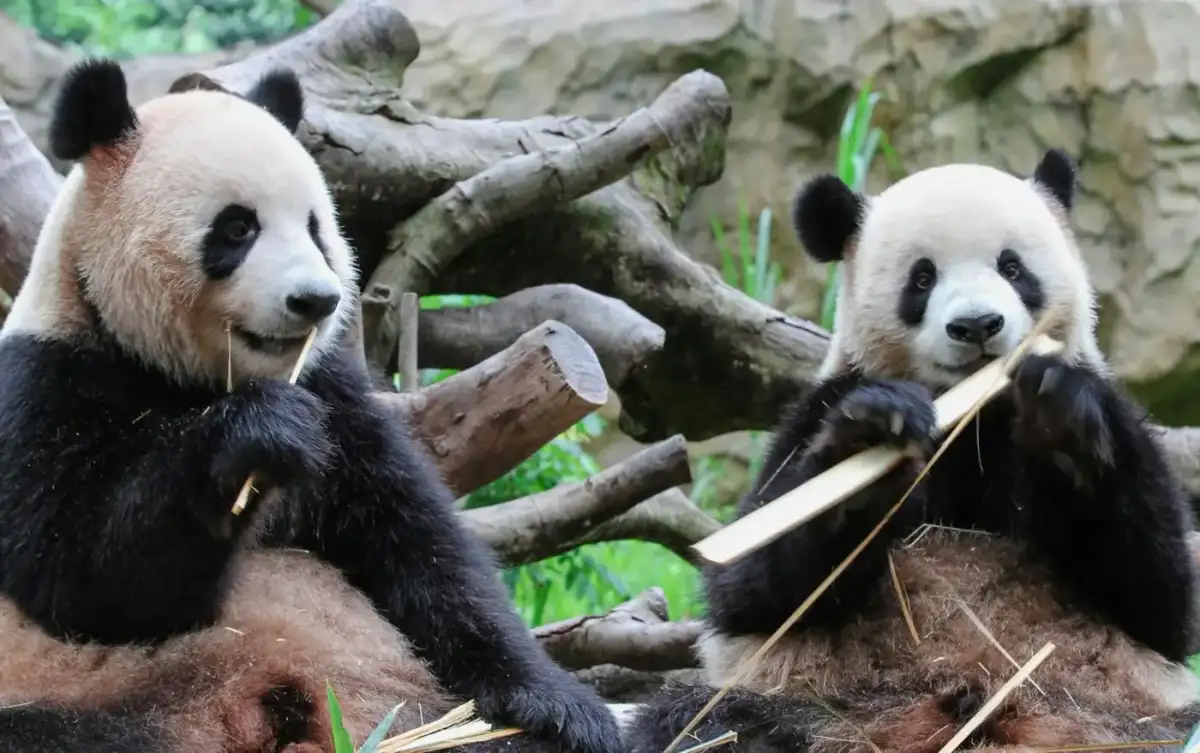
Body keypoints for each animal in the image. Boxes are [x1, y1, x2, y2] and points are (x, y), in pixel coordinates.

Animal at [0, 58, 624, 753]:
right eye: (238, 227)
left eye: (315, 228)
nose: (316, 300)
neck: (186, 377)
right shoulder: (47, 385)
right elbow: (83, 585)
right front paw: (258, 436)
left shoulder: (336, 396)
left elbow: (421, 548)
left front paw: (560, 708)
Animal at [626, 149, 1200, 752]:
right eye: (922, 278)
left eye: (1012, 268)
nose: (977, 325)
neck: (973, 417)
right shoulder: (819, 407)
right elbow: (752, 592)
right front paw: (874, 441)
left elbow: (1159, 598)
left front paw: (1061, 421)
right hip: (817, 709)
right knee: (708, 724)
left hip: (1112, 716)